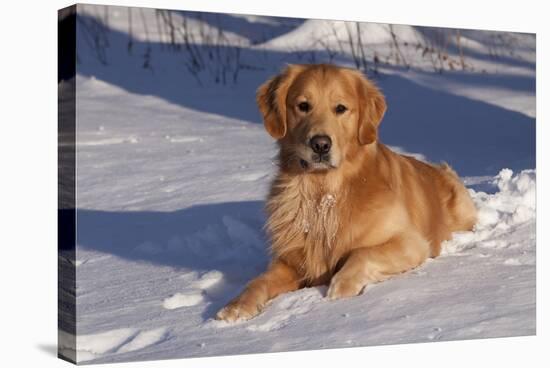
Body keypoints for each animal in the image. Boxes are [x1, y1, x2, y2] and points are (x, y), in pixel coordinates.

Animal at [216, 63, 478, 322]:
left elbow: (361, 253)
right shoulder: (291, 261)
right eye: (303, 106)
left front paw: (339, 288)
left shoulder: (410, 242)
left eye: (340, 108)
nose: (320, 145)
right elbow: (258, 281)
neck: (324, 195)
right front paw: (237, 306)